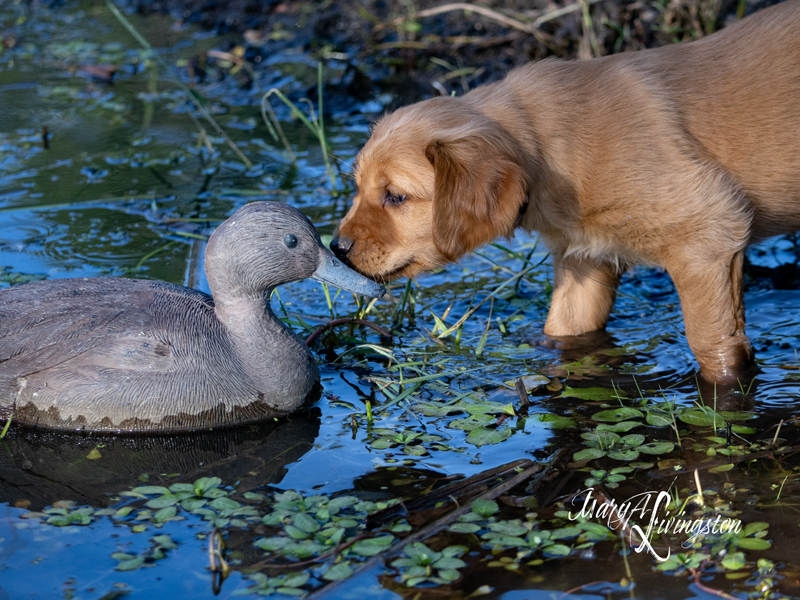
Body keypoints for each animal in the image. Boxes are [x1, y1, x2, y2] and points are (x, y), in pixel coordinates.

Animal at [332, 0, 800, 382]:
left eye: (396, 196)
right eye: (358, 188)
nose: (336, 248)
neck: (541, 143)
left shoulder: (709, 235)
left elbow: (713, 345)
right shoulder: (584, 260)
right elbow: (564, 332)